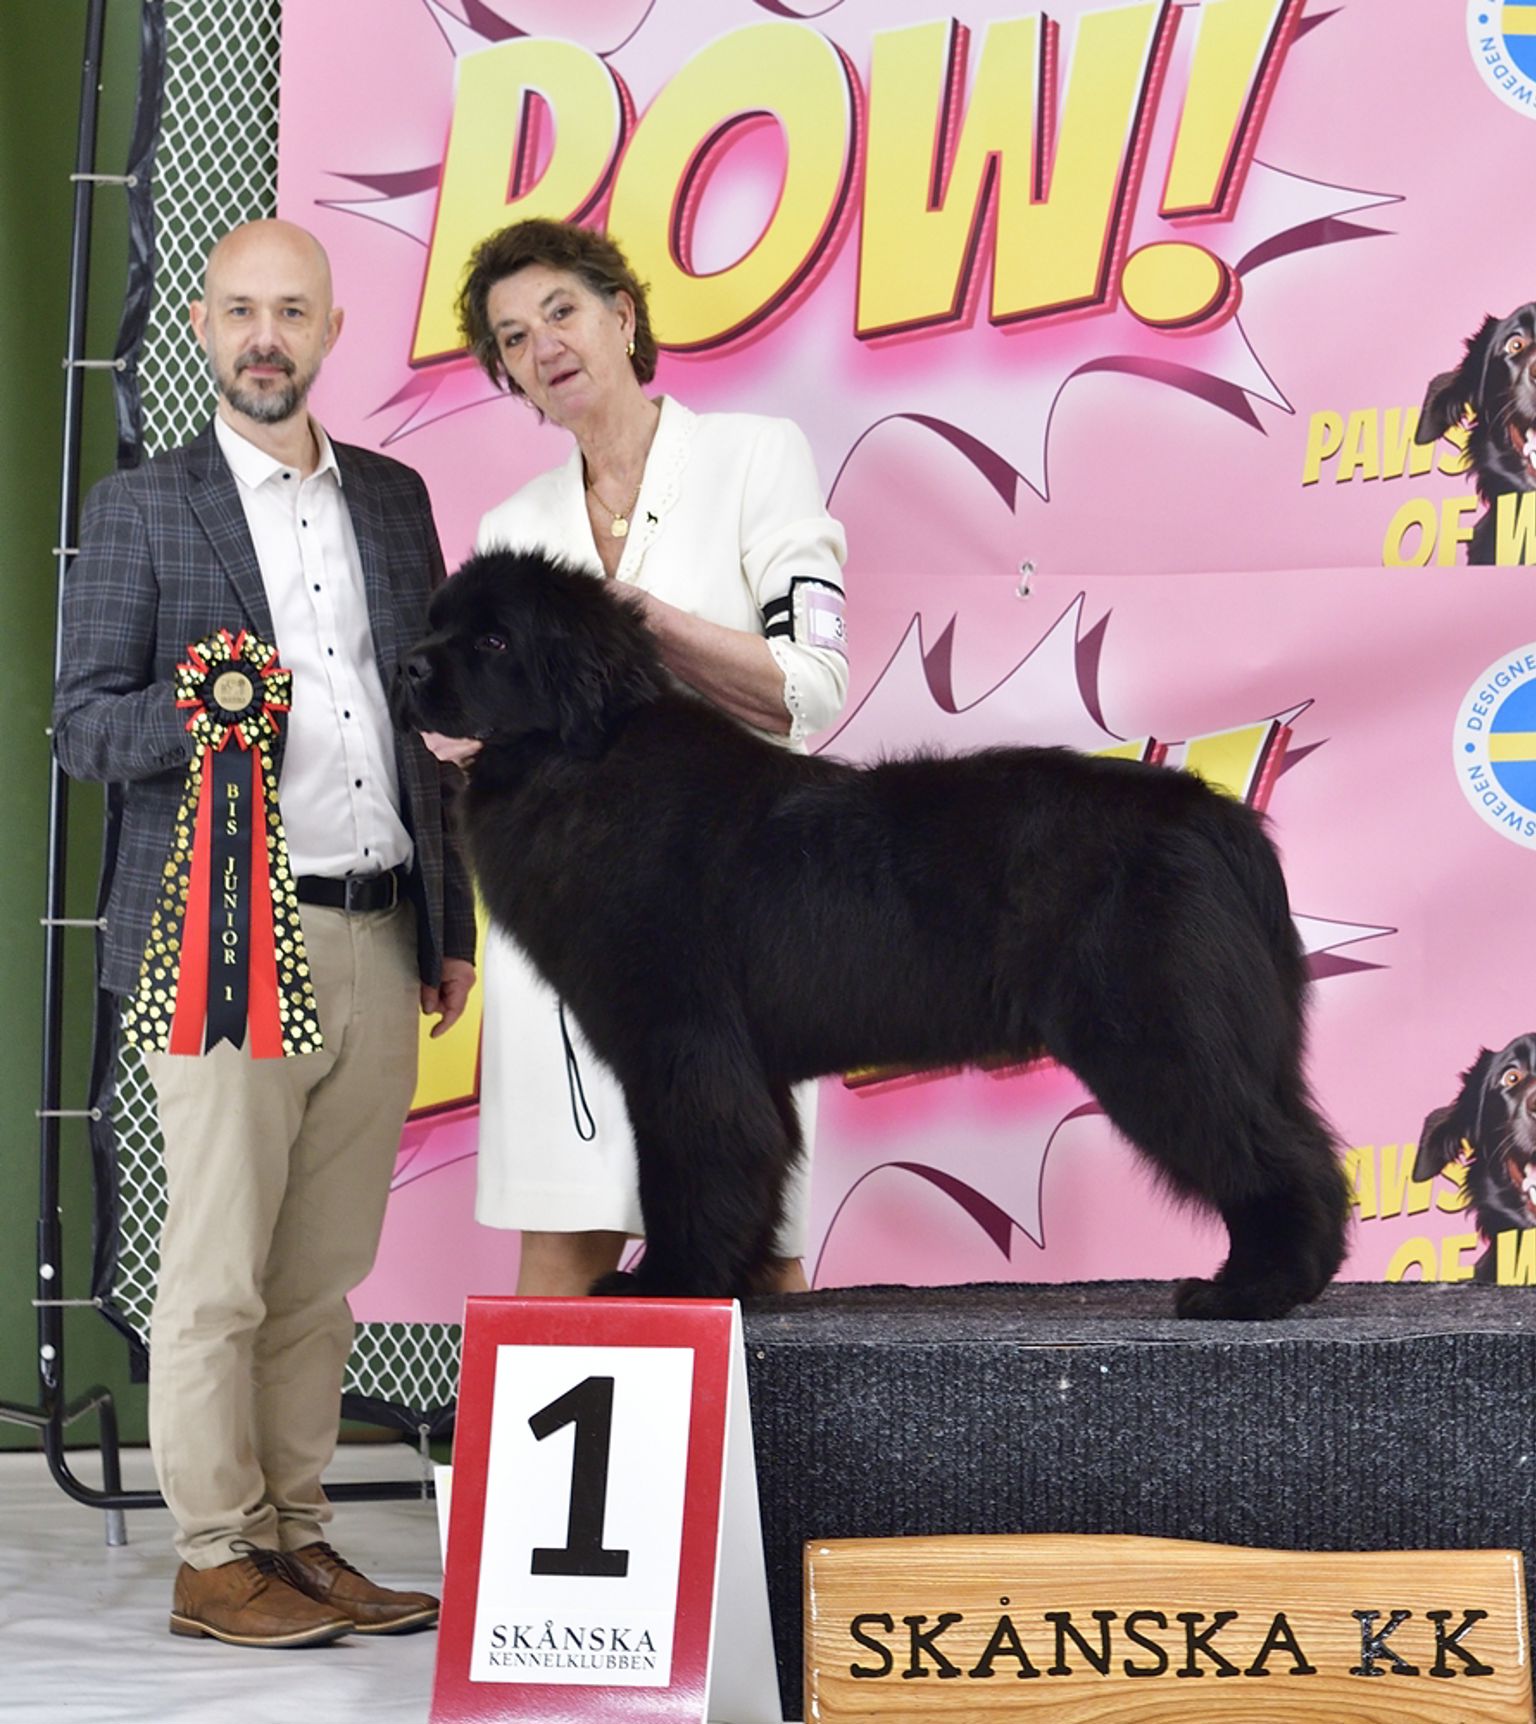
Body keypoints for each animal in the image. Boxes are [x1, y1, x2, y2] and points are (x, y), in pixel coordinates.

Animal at [395, 550, 1348, 1319]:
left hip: (1158, 1035)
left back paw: (1252, 1290)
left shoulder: (680, 1043)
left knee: (1271, 1156)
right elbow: (755, 1163)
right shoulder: (743, 1065)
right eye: (437, 622)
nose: (404, 665)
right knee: (1305, 1145)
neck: (583, 762)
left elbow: (691, 1164)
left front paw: (665, 1285)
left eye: (494, 642)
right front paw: (736, 1283)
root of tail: (1215, 818)